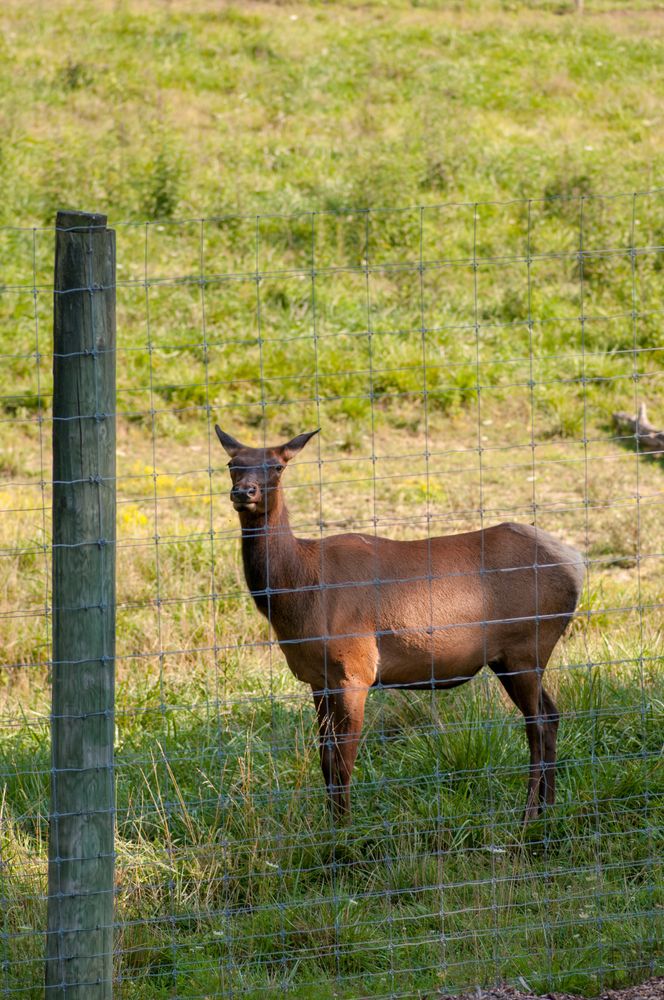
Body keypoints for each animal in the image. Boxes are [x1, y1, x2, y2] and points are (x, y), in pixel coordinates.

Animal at [216, 425, 585, 823]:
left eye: (278, 466)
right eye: (232, 464)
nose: (244, 492)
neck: (300, 592)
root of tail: (577, 563)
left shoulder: (355, 670)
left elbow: (343, 762)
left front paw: (345, 830)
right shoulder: (318, 678)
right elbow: (325, 761)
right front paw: (329, 825)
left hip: (527, 646)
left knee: (538, 723)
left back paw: (529, 815)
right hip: (508, 658)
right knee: (552, 714)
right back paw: (547, 808)